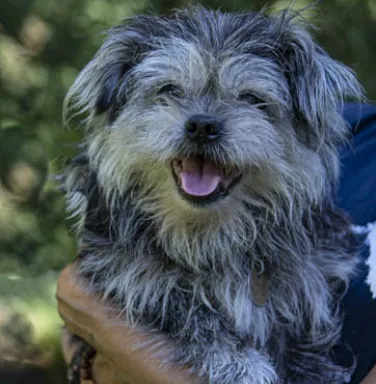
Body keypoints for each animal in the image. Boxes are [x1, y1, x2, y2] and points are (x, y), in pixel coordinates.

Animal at [61, 4, 364, 382]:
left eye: (251, 98)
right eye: (170, 89)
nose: (202, 126)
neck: (210, 233)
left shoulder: (309, 290)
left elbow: (307, 347)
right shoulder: (126, 275)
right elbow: (187, 308)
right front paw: (240, 363)